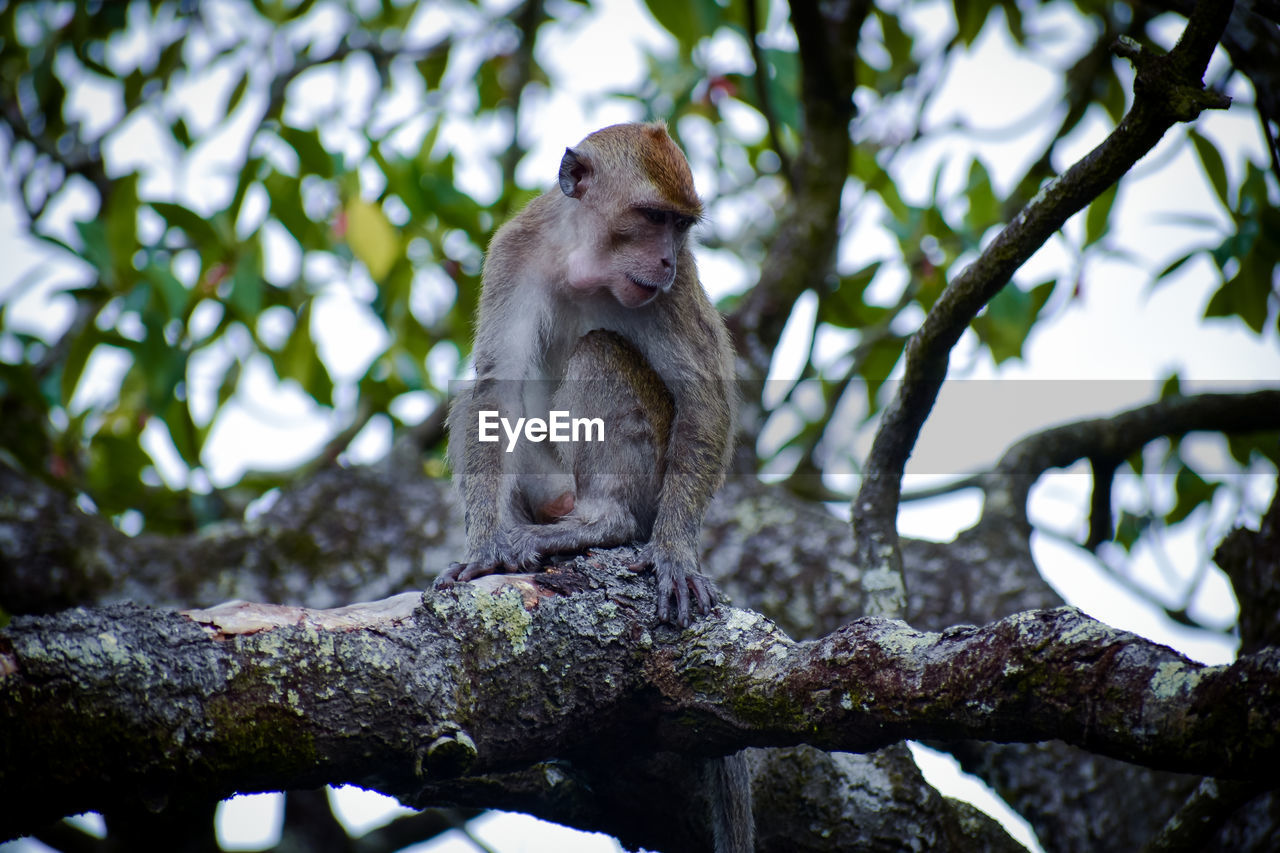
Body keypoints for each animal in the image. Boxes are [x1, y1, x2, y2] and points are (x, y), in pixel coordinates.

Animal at [440, 121, 737, 625]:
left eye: (679, 225)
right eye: (653, 217)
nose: (666, 260)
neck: (585, 266)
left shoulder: (676, 286)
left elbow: (704, 400)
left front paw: (674, 553)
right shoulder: (513, 251)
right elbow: (497, 385)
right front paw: (483, 548)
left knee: (599, 352)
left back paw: (601, 524)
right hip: (551, 485)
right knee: (472, 401)